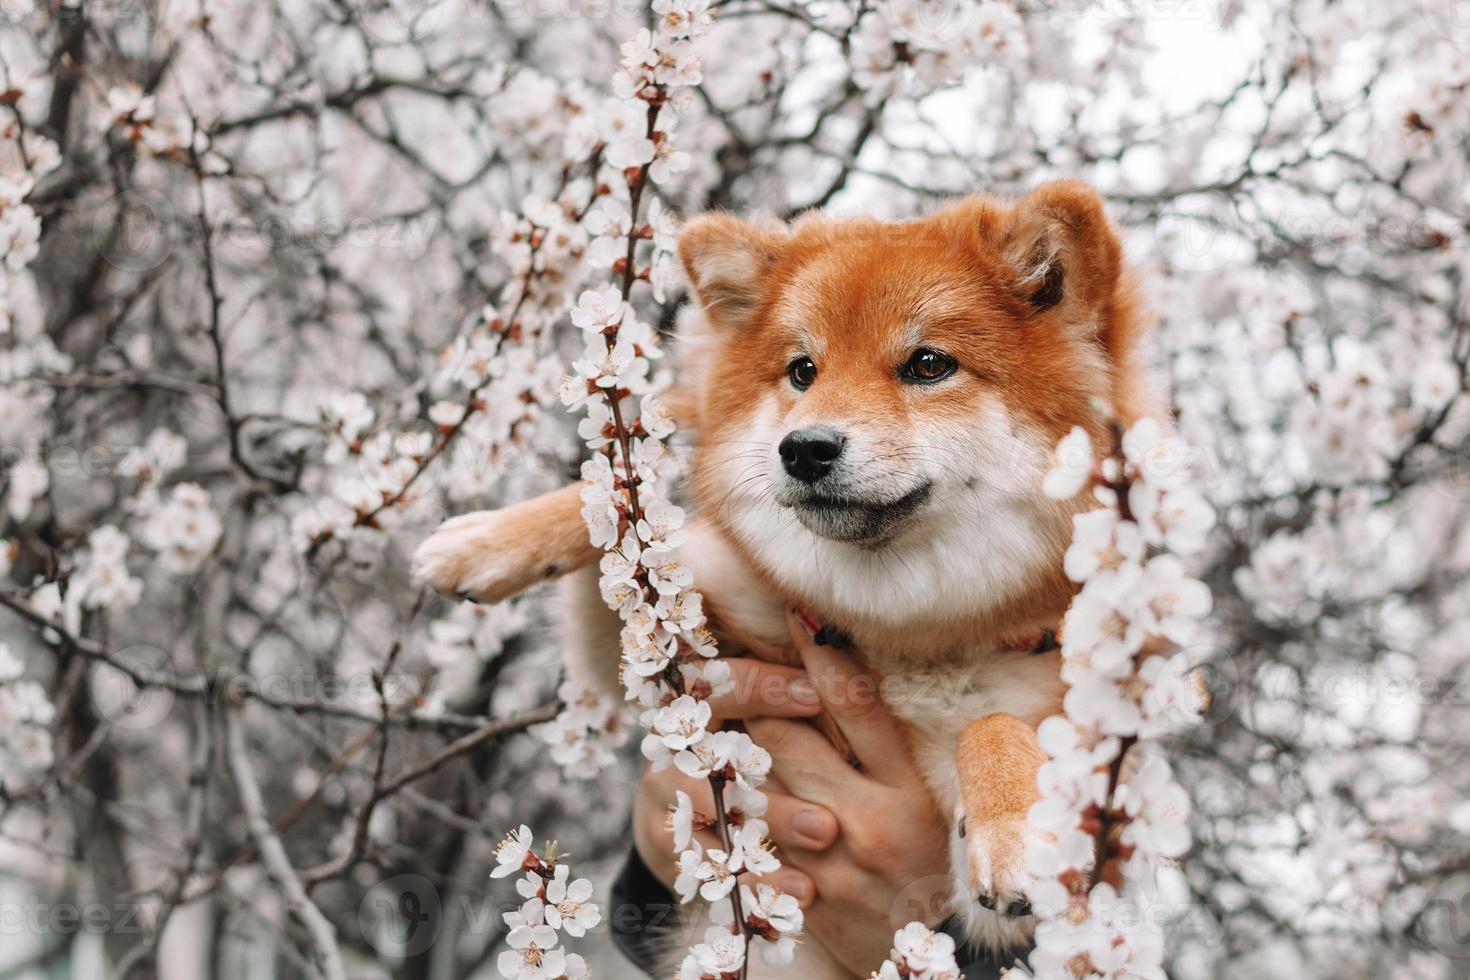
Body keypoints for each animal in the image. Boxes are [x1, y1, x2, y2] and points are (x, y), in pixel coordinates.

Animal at [411, 182, 1158, 975]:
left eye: (929, 365)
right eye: (803, 370)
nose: (803, 448)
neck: (902, 633)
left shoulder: (989, 913)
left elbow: (994, 725)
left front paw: (1019, 832)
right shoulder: (692, 626)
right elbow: (623, 503)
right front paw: (483, 542)